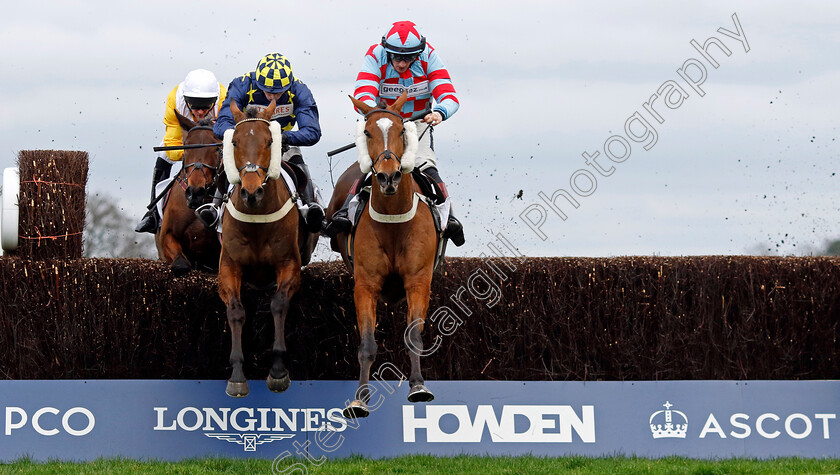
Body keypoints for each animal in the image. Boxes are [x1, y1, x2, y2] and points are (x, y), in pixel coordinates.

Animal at [220, 99, 318, 398]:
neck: (256, 217)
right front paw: (237, 375)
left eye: (270, 141)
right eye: (235, 142)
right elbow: (236, 310)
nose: (251, 192)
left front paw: (277, 371)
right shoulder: (229, 266)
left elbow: (278, 304)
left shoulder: (289, 265)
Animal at [324, 92, 436, 416]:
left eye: (401, 131)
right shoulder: (366, 284)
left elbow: (413, 336)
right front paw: (360, 397)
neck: (393, 218)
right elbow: (366, 343)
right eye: (367, 132)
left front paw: (418, 386)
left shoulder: (418, 281)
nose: (388, 177)